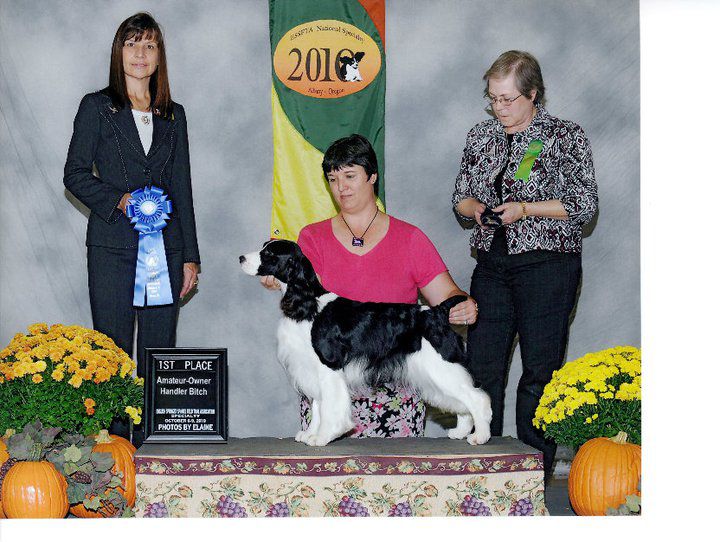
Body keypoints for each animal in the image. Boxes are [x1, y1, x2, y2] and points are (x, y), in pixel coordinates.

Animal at [239, 241, 492, 446]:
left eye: (269, 253)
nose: (241, 258)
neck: (309, 304)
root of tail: (437, 312)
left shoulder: (329, 365)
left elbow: (330, 405)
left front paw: (323, 436)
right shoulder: (313, 369)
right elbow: (319, 405)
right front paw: (311, 434)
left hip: (441, 366)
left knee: (476, 398)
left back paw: (479, 436)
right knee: (461, 402)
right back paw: (460, 432)